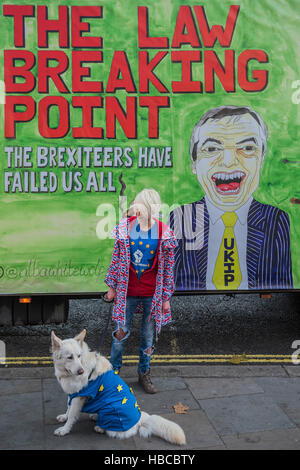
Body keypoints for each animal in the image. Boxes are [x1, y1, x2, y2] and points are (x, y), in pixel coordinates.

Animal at [51, 326, 186, 444]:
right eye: (69, 357)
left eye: (79, 356)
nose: (81, 371)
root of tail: (140, 418)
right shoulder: (73, 393)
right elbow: (68, 407)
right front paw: (64, 417)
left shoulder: (79, 396)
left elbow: (72, 415)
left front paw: (64, 430)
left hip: (110, 409)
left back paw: (100, 427)